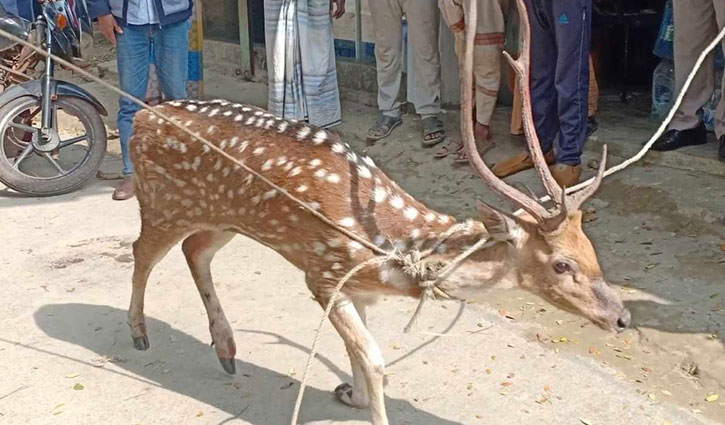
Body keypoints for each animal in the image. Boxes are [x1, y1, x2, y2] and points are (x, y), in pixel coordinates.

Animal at [129, 0, 628, 420]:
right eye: (561, 264)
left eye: (592, 251)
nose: (622, 317)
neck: (390, 252)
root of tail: (141, 117)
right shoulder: (324, 274)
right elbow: (374, 360)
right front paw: (362, 398)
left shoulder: (355, 288)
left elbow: (359, 354)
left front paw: (349, 393)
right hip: (161, 202)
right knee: (142, 252)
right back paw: (139, 333)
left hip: (222, 216)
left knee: (195, 250)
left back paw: (227, 352)